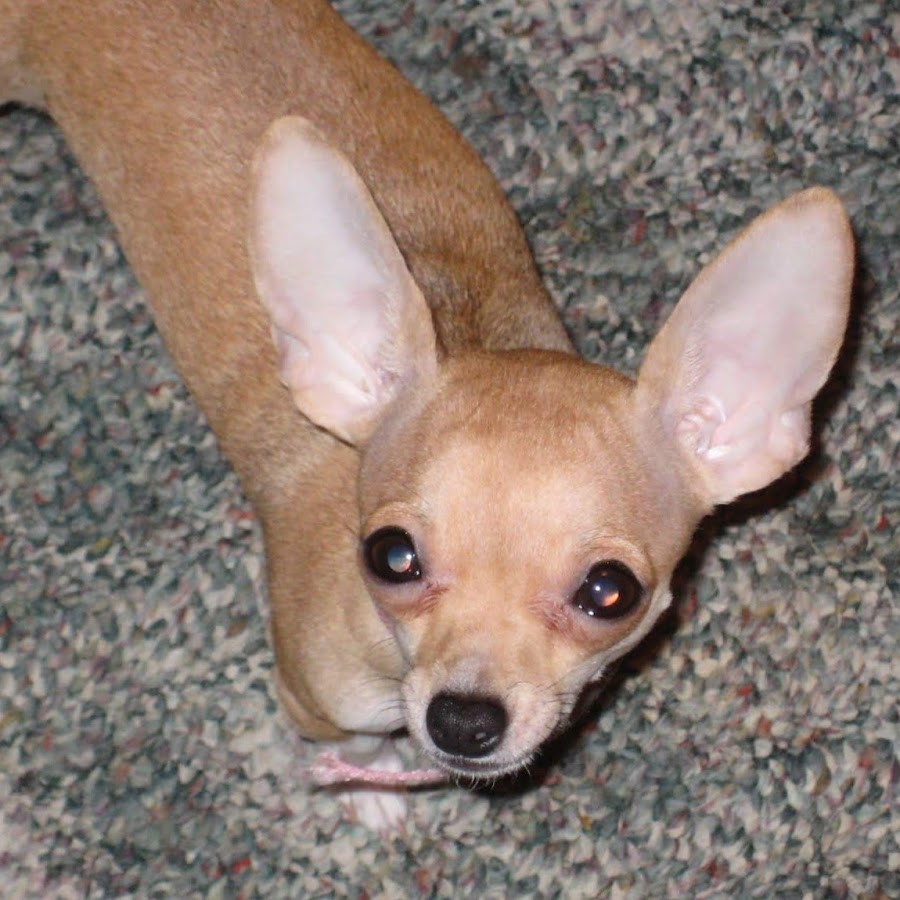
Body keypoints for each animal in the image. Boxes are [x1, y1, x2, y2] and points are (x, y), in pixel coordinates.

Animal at [0, 0, 853, 829]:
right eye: (390, 557)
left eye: (610, 593)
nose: (462, 721)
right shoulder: (310, 697)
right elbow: (351, 741)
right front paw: (366, 790)